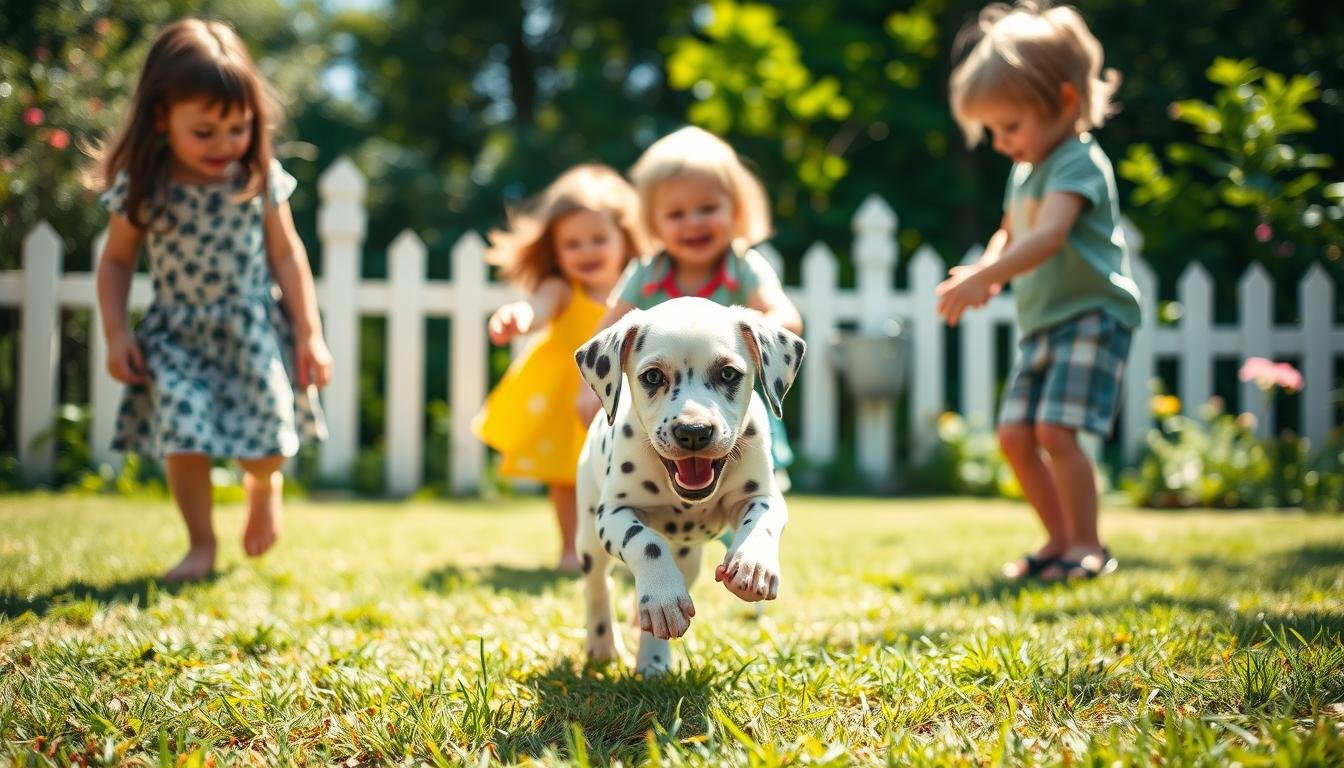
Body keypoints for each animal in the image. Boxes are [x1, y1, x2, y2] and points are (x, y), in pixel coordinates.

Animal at [572, 294, 801, 672]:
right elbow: (645, 542)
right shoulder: (614, 512)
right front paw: (662, 595)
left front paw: (753, 564)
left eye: (728, 373)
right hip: (589, 536)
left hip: (688, 558)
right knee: (598, 585)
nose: (693, 432)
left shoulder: (764, 496)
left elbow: (761, 522)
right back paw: (604, 642)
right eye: (652, 376)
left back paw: (652, 658)